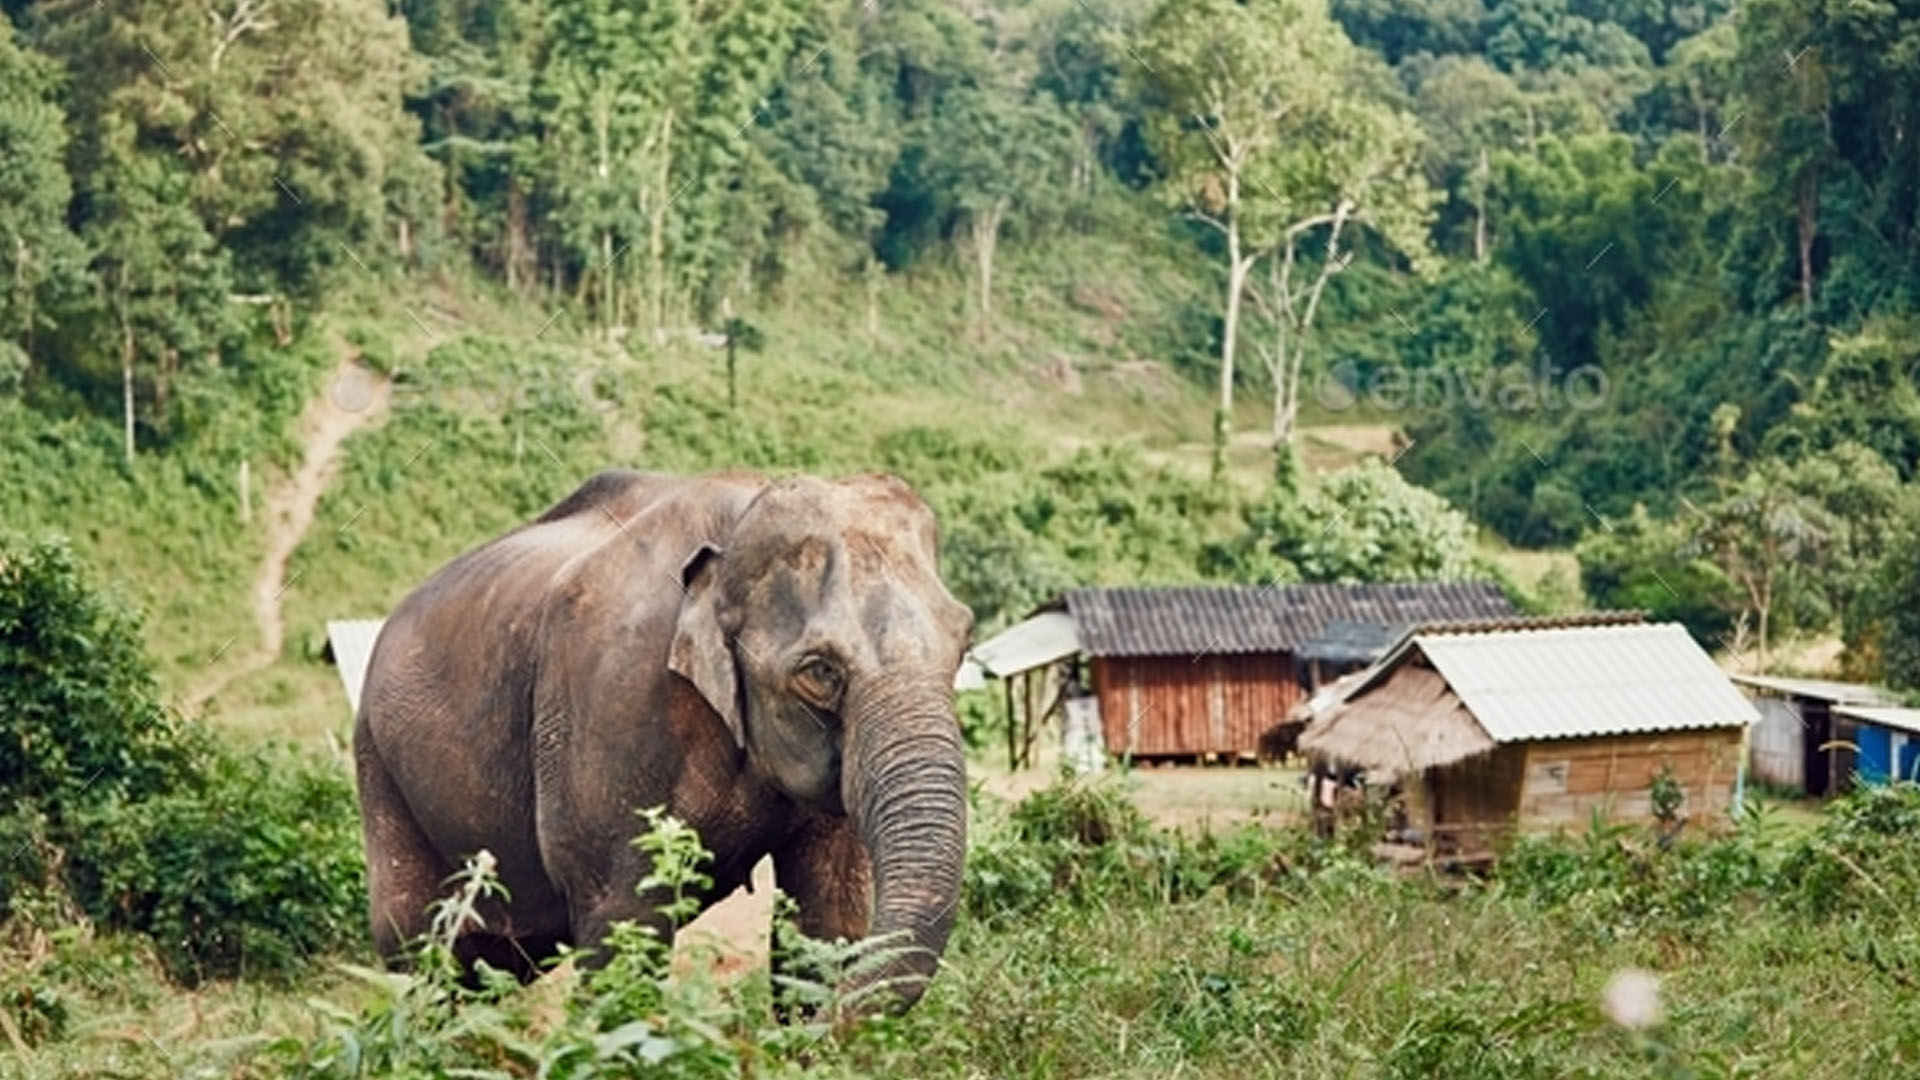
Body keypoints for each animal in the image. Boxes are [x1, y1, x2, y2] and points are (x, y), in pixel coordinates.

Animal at [353, 468, 975, 1006]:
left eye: (965, 644)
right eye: (820, 671)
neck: (741, 515)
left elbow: (827, 913)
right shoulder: (615, 700)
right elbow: (624, 924)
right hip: (379, 767)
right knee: (420, 956)